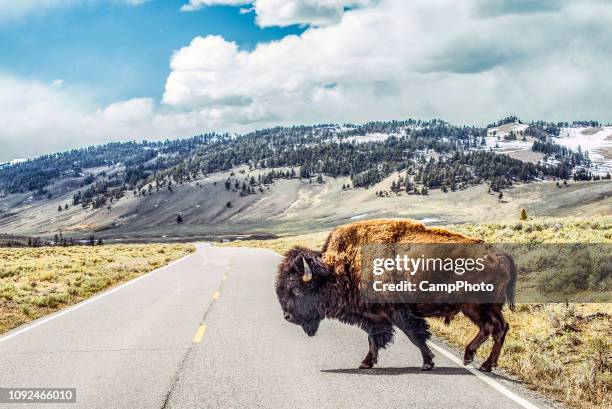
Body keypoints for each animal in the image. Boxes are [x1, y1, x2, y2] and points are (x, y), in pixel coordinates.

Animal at [278, 218, 516, 372]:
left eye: (296, 289)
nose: (287, 317)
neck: (341, 267)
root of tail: (501, 255)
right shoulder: (374, 316)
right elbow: (374, 338)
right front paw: (366, 363)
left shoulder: (397, 312)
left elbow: (414, 334)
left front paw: (427, 362)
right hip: (485, 308)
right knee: (499, 328)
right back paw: (482, 363)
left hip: (476, 306)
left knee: (492, 328)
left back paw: (477, 361)